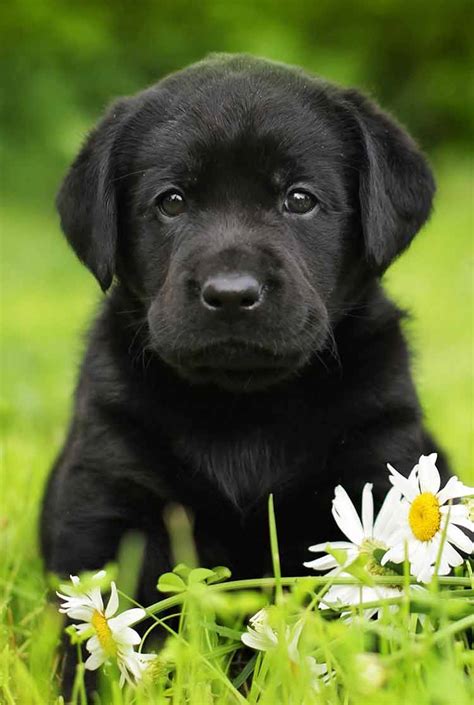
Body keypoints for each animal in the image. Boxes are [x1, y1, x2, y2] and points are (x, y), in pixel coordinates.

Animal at [40, 53, 448, 604]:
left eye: (300, 199)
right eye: (171, 202)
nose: (231, 293)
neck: (245, 408)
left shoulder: (376, 461)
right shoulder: (108, 493)